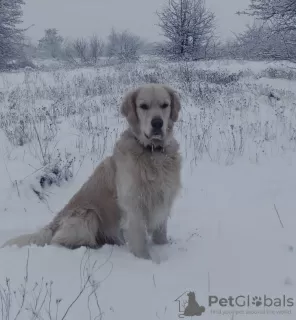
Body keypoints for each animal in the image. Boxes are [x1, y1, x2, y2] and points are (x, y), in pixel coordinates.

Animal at [1, 83, 183, 260]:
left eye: (165, 105)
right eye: (143, 106)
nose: (157, 123)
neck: (153, 152)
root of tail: (54, 223)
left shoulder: (163, 202)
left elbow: (161, 236)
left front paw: (163, 249)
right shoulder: (133, 207)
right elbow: (140, 244)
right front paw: (146, 262)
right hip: (87, 214)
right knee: (58, 241)